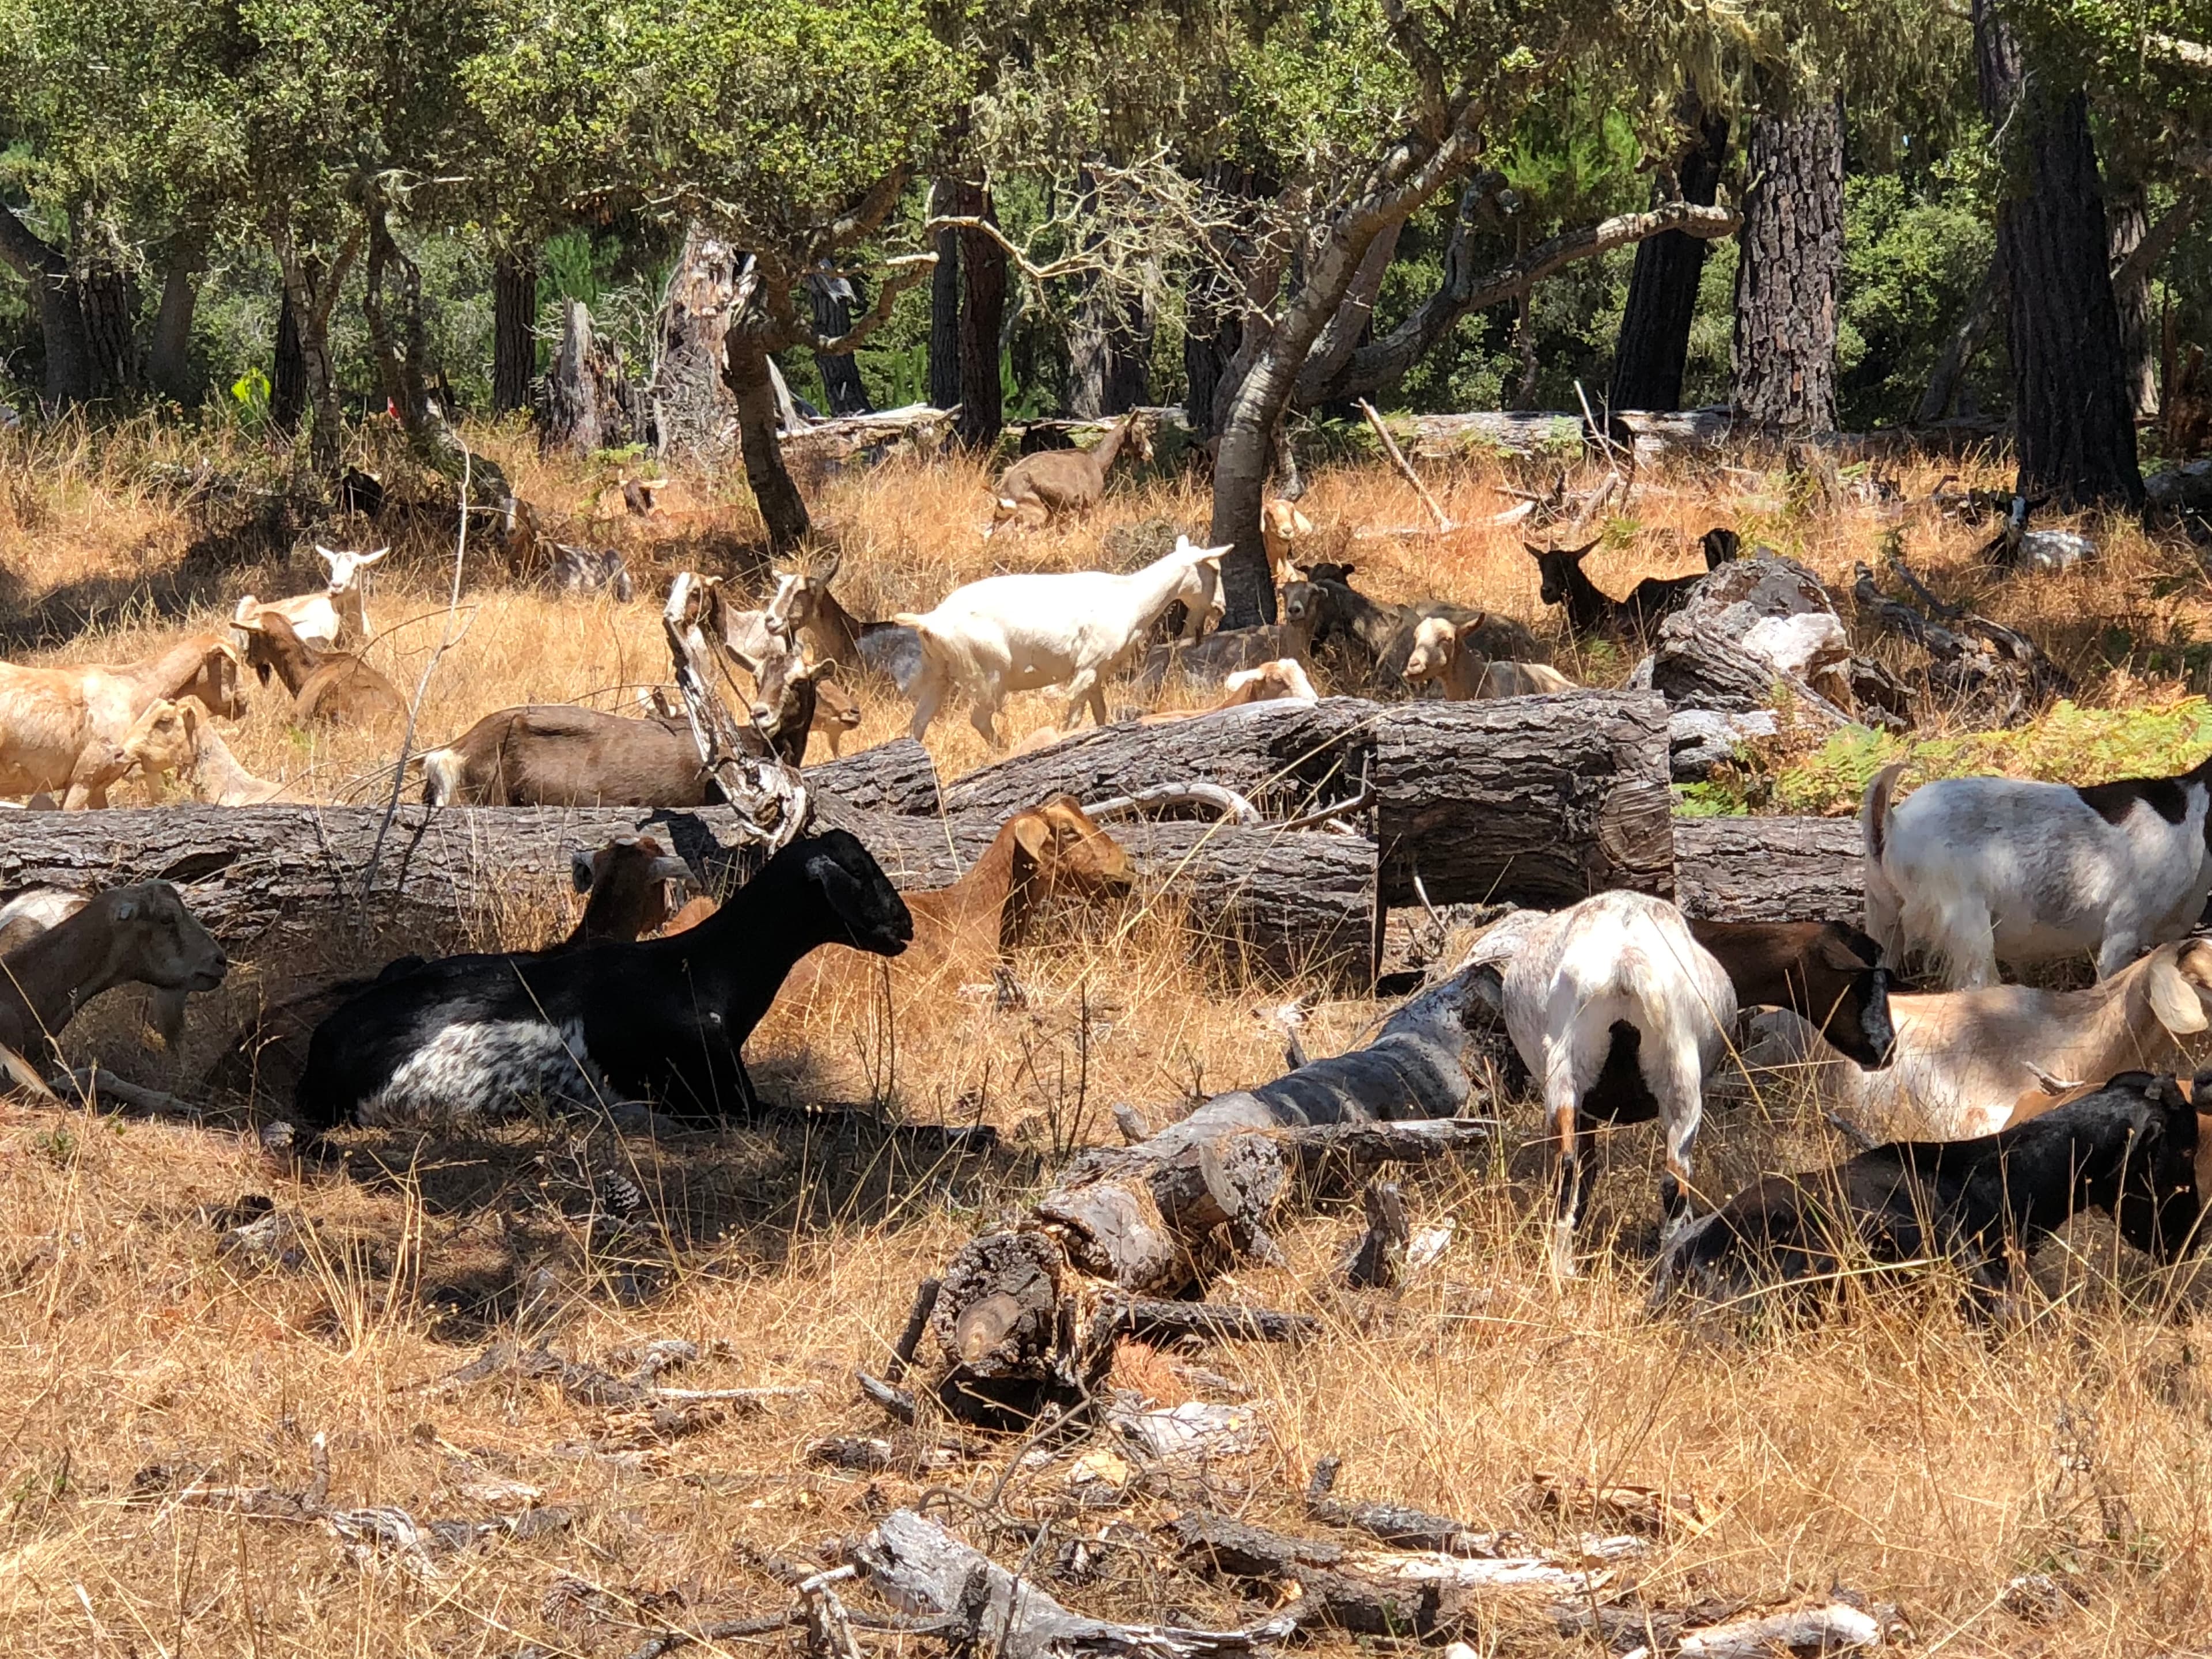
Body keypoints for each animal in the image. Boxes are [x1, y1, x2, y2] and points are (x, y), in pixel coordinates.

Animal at [897, 535, 1227, 745]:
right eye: (1214, 568)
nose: (1221, 607)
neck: (1133, 598)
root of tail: (932, 620)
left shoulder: (1096, 672)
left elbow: (1101, 714)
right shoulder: (1087, 668)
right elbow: (1074, 719)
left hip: (940, 673)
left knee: (918, 723)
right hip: (988, 673)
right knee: (979, 719)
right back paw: (1006, 749)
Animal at [987, 411, 1153, 535]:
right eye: (1138, 431)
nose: (1150, 452)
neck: (1097, 461)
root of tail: (1005, 490)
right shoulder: (1086, 507)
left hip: (1004, 516)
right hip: (1034, 511)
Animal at [1501, 891, 1739, 1276]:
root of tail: (1625, 962)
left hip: (1568, 1076)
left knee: (1570, 1167)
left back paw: (1564, 1267)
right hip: (1679, 1083)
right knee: (1671, 1183)